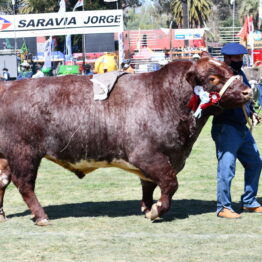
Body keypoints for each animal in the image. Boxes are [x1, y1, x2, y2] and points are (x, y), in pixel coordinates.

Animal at [0, 56, 252, 225]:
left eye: (230, 70)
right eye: (213, 78)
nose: (248, 92)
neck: (165, 98)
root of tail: (8, 86)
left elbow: (149, 186)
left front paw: (147, 207)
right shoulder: (148, 155)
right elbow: (170, 183)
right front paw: (156, 211)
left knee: (3, 182)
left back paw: (2, 215)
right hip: (24, 153)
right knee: (24, 184)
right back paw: (41, 216)